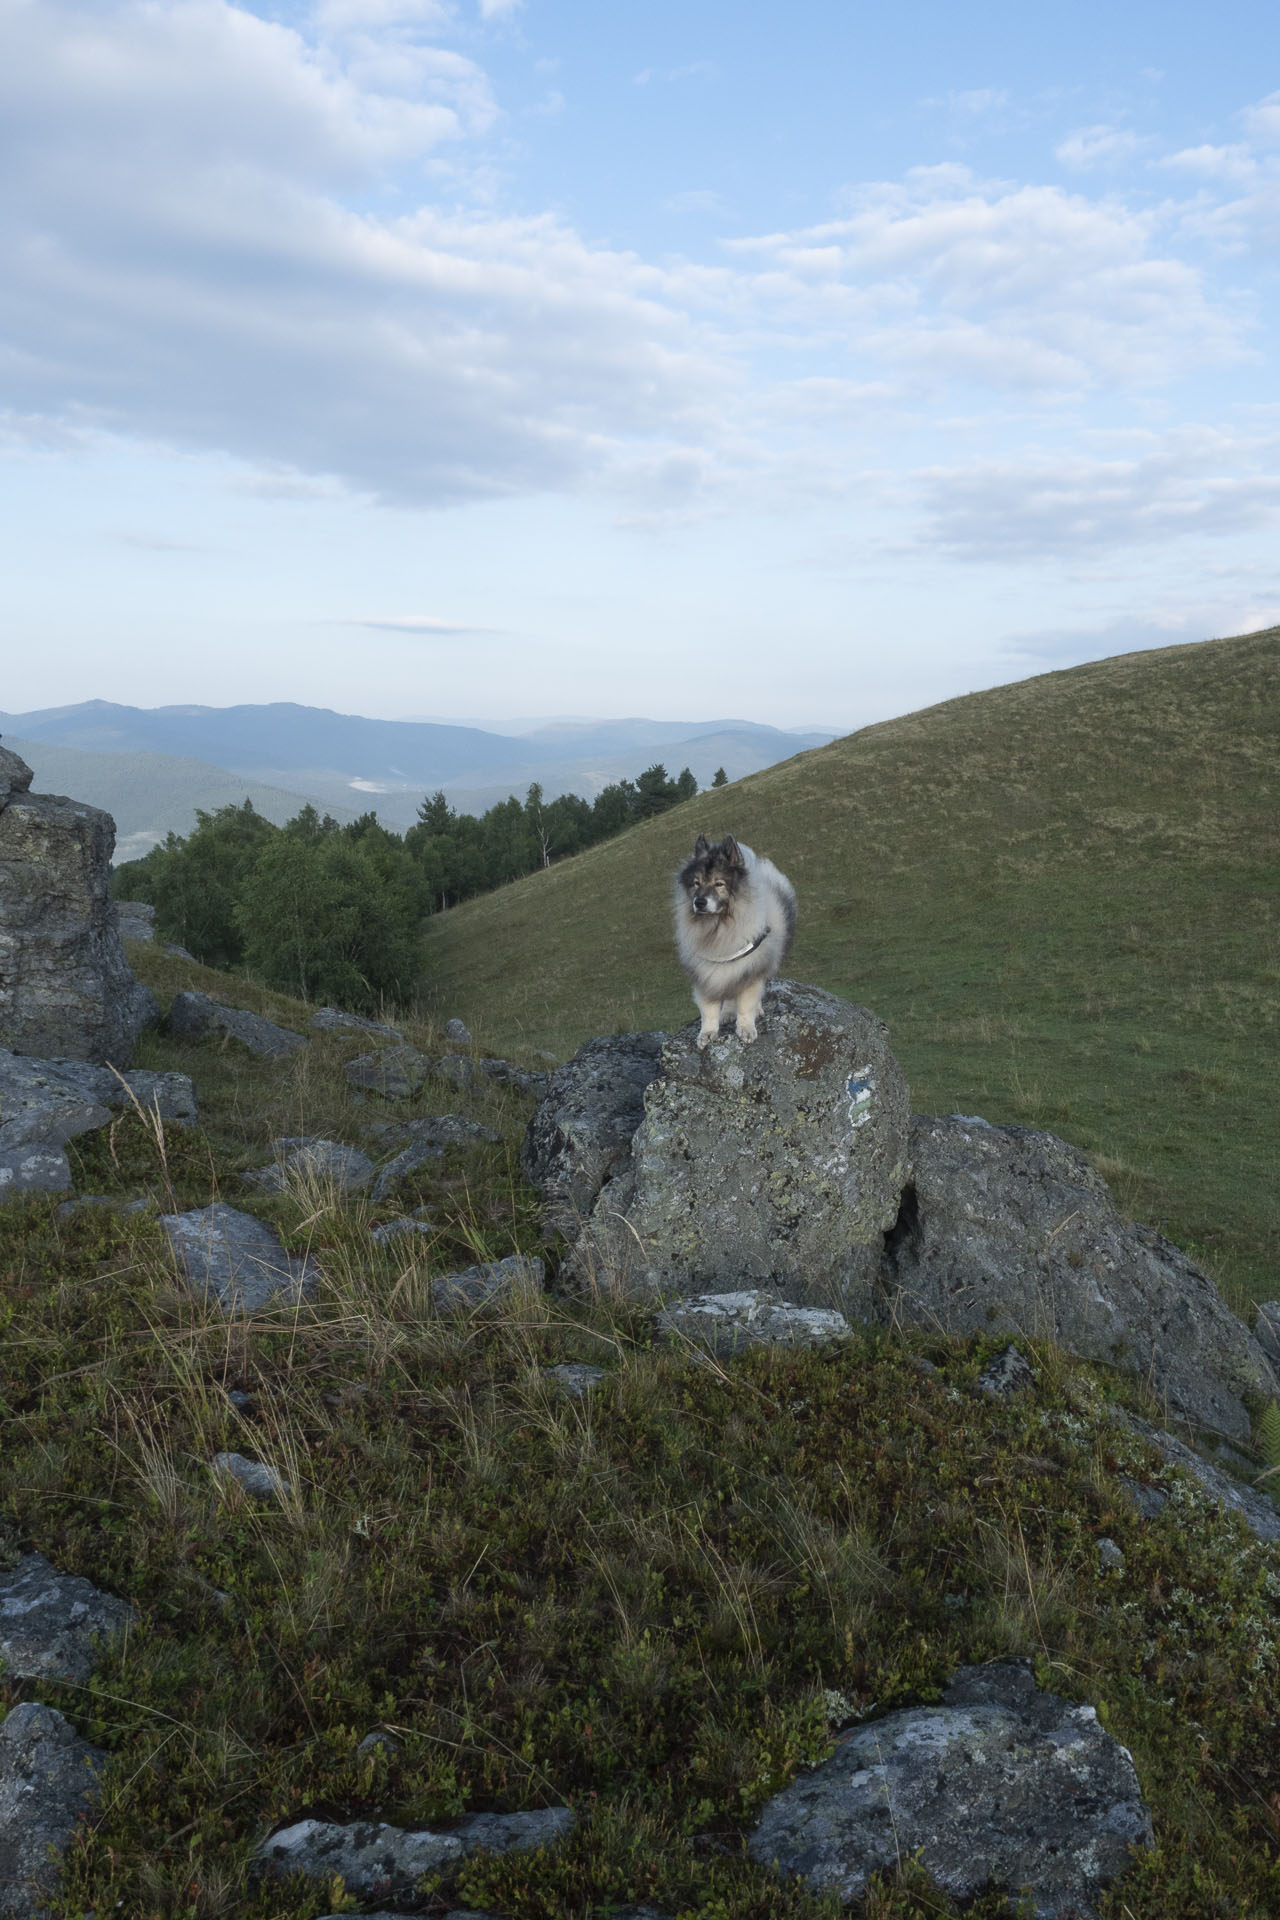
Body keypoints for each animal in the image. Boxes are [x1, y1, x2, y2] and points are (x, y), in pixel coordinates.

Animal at [675, 833, 794, 1052]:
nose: (699, 902)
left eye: (719, 884)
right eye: (696, 883)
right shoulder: (706, 975)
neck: (719, 930)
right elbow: (708, 1009)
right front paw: (707, 1033)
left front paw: (746, 1029)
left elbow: (746, 1004)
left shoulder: (751, 969)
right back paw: (728, 1013)